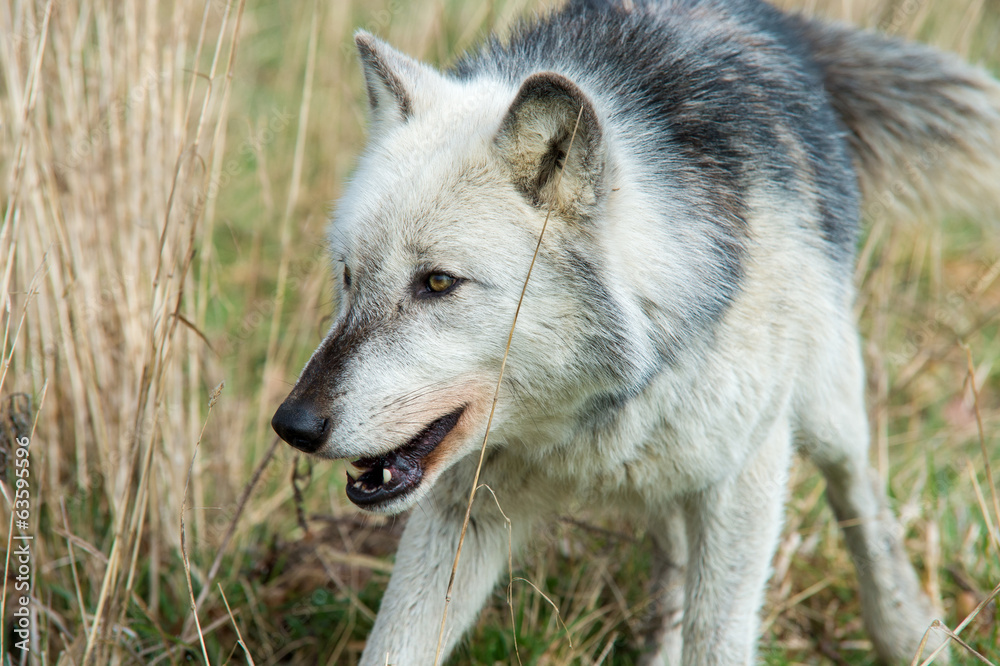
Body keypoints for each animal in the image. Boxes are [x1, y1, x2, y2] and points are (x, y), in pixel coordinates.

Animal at [271, 0, 1000, 663]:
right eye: (348, 276)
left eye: (438, 283)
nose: (291, 424)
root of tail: (771, 19)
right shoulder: (460, 509)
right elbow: (394, 646)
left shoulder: (745, 479)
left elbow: (719, 642)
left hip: (824, 407)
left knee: (860, 494)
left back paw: (913, 631)